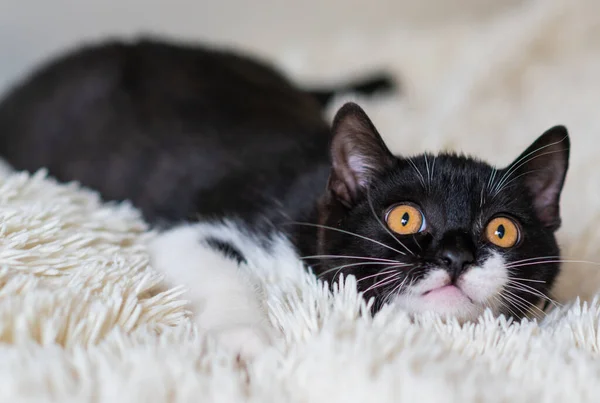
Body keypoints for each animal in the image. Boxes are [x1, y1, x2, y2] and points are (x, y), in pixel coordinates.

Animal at [0, 39, 568, 358]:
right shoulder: (197, 224)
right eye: (405, 218)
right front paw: (247, 342)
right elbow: (220, 267)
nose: (454, 256)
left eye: (502, 230)